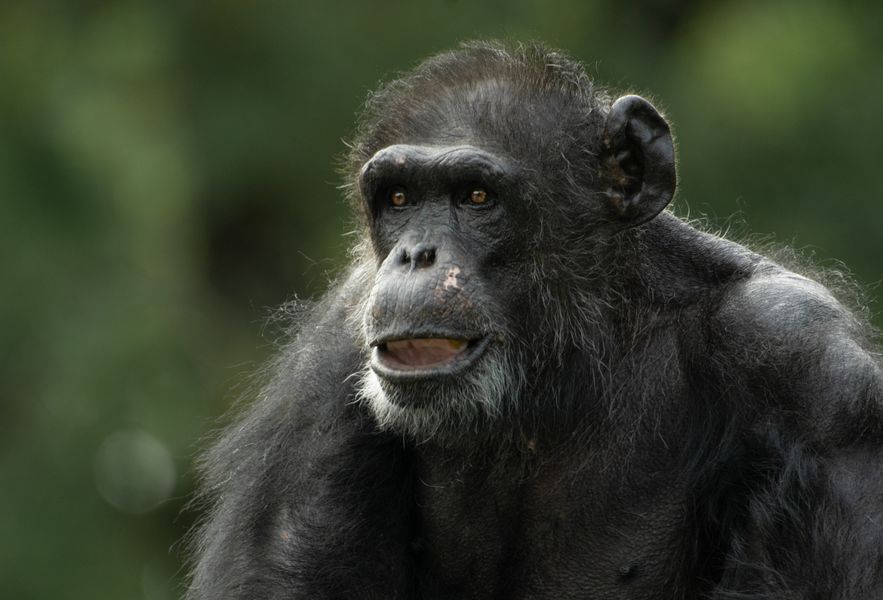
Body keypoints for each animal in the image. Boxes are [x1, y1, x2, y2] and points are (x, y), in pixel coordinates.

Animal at [188, 42, 883, 600]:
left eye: (476, 196)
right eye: (398, 198)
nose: (415, 254)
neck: (567, 357)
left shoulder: (811, 374)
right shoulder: (326, 367)